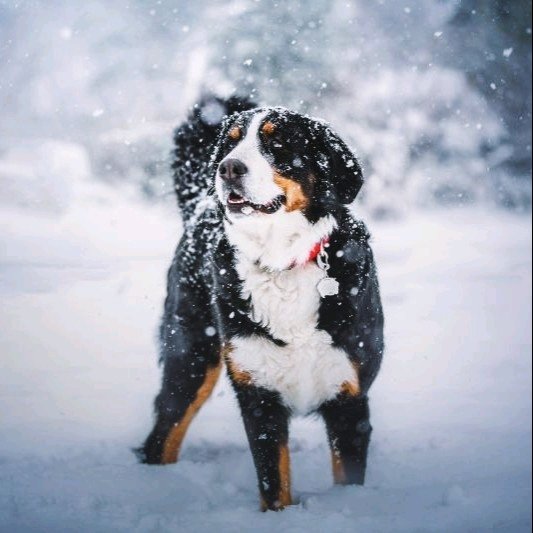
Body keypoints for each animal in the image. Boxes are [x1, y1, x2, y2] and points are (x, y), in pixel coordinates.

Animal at [137, 95, 384, 512]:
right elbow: (274, 483)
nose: (228, 168)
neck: (282, 264)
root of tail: (199, 206)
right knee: (162, 437)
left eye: (278, 143)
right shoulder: (258, 393)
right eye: (232, 142)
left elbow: (347, 478)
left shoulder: (349, 397)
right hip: (190, 360)